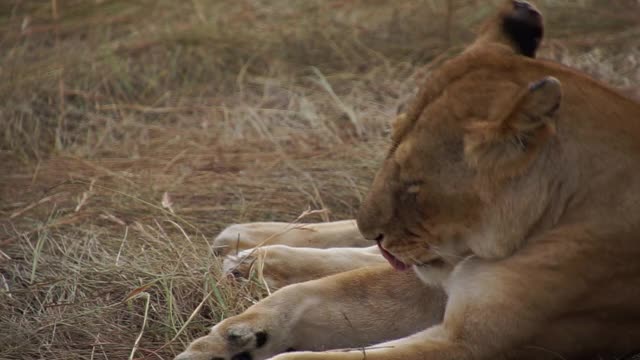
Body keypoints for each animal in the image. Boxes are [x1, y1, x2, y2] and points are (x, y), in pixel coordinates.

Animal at [178, 1, 640, 358]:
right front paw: (229, 340)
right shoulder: (431, 287)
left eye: (415, 185)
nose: (374, 228)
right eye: (389, 146)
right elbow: (324, 292)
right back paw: (247, 250)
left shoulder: (476, 342)